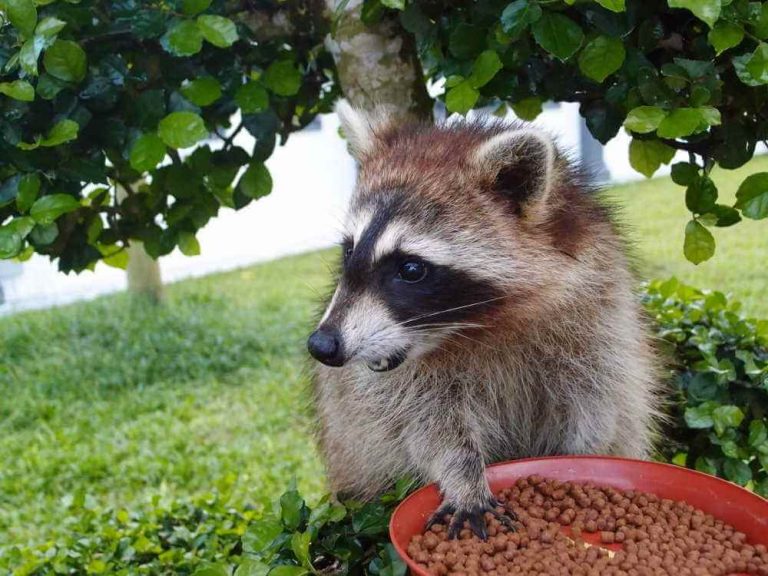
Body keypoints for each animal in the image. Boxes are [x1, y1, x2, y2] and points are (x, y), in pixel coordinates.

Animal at [306, 101, 660, 536]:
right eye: (348, 251)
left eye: (411, 269)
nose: (322, 345)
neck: (479, 325)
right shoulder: (402, 382)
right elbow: (425, 420)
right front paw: (462, 475)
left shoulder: (599, 310)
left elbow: (600, 401)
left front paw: (582, 460)